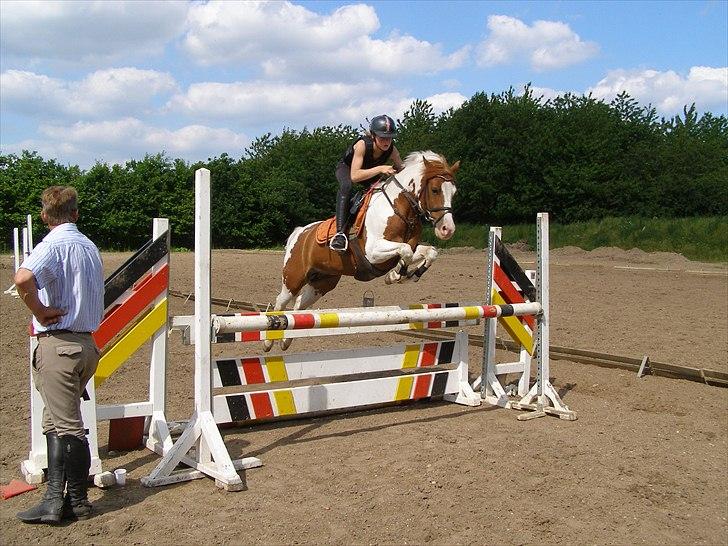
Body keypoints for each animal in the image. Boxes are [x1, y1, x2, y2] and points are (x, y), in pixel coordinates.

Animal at [265, 150, 460, 351]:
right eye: (435, 190)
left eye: (454, 192)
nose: (447, 229)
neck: (399, 209)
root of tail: (300, 232)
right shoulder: (372, 252)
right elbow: (405, 250)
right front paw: (396, 275)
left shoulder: (409, 247)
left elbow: (429, 252)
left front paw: (409, 274)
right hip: (293, 279)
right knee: (280, 302)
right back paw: (268, 341)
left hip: (322, 283)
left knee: (298, 306)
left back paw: (286, 341)